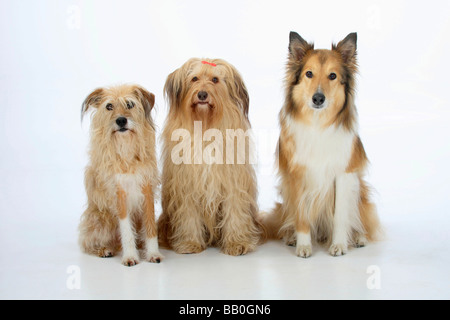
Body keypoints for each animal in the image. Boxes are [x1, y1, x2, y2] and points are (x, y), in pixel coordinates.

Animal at [78, 84, 163, 266]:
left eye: (130, 104)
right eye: (109, 106)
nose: (121, 120)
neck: (126, 151)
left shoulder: (147, 189)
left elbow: (150, 226)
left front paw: (153, 253)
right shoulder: (119, 193)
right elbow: (126, 230)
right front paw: (130, 256)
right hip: (101, 220)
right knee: (87, 242)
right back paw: (104, 249)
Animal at [158, 57, 264, 256]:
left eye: (215, 80)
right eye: (194, 79)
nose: (202, 95)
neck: (205, 126)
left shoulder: (233, 184)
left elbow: (235, 213)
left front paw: (237, 243)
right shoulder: (186, 187)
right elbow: (188, 216)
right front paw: (190, 243)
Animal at [262, 32, 382, 258]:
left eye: (332, 76)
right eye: (309, 73)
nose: (318, 98)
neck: (318, 124)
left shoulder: (344, 175)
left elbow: (340, 215)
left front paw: (339, 245)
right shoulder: (296, 176)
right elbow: (301, 217)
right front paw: (303, 246)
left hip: (360, 192)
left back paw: (359, 237)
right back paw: (291, 237)